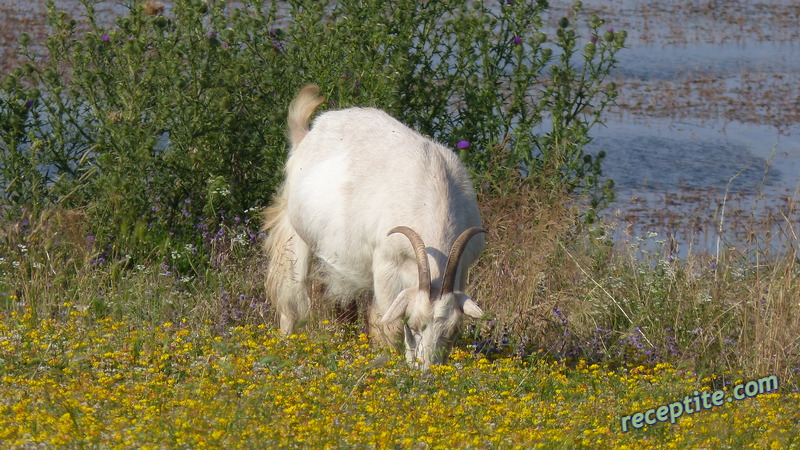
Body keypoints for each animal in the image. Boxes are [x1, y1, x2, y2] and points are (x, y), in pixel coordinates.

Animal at [266, 85, 484, 370]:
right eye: (412, 323)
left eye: (453, 331)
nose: (425, 370)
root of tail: (307, 135)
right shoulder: (386, 265)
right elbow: (385, 323)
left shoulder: (464, 266)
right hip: (296, 235)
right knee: (290, 296)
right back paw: (285, 344)